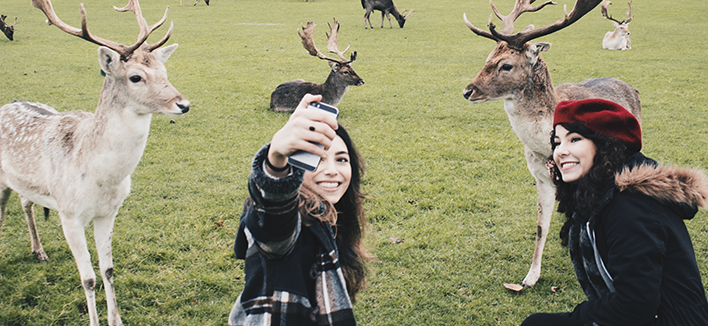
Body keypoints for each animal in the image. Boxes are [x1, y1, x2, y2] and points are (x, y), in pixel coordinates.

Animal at [0, 1, 191, 324]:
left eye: (164, 70)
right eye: (136, 77)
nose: (183, 104)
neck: (101, 179)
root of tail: (9, 102)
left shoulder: (109, 212)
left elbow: (108, 269)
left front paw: (116, 319)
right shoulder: (69, 214)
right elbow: (88, 278)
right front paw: (94, 319)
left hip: (26, 183)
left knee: (25, 202)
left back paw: (38, 251)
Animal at [462, 0, 640, 290]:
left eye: (506, 66)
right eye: (487, 58)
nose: (468, 91)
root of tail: (631, 87)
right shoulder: (540, 177)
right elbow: (540, 225)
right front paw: (530, 276)